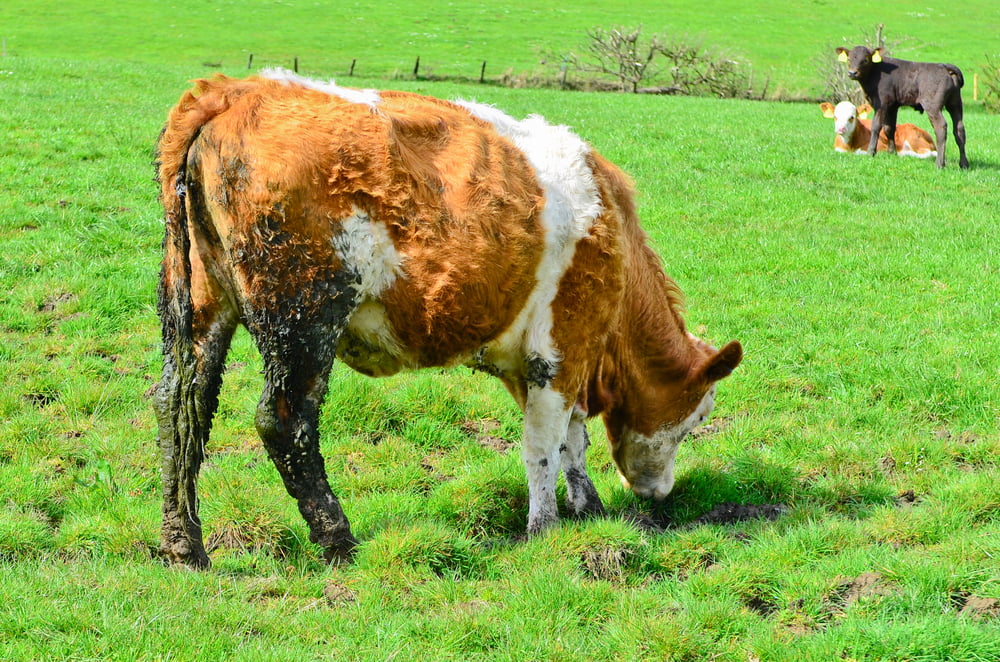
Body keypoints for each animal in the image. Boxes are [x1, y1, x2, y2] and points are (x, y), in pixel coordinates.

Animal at [152, 68, 740, 572]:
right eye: (699, 417)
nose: (659, 494)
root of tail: (235, 89)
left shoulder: (558, 357)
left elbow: (571, 439)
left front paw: (587, 507)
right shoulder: (561, 346)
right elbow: (543, 446)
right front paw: (545, 528)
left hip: (200, 302)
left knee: (180, 406)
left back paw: (185, 546)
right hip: (303, 313)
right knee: (283, 420)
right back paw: (339, 539)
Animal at [836, 44, 968, 169]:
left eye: (865, 60)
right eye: (849, 59)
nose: (852, 73)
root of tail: (944, 66)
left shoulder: (881, 103)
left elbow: (876, 126)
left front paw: (870, 152)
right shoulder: (892, 105)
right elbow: (889, 128)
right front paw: (892, 153)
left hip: (933, 106)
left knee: (940, 127)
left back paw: (940, 164)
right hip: (955, 104)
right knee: (959, 129)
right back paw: (964, 164)